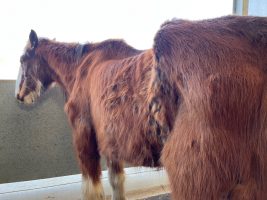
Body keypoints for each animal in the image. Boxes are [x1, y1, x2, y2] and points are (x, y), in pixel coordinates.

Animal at [15, 30, 166, 200]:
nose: (19, 96)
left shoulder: (83, 131)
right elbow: (116, 180)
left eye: (22, 59)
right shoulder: (110, 140)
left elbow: (92, 187)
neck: (81, 67)